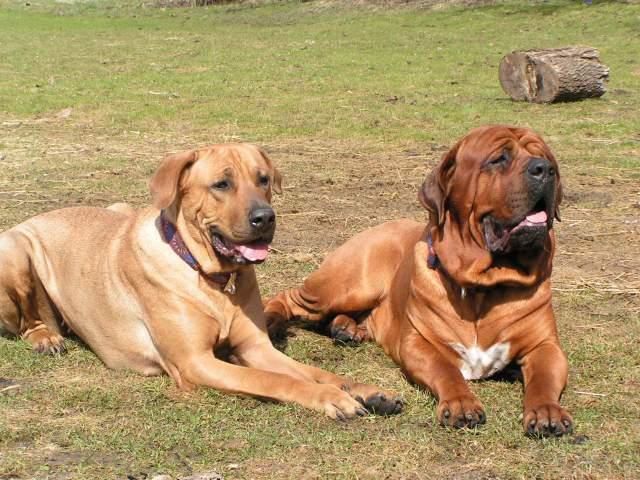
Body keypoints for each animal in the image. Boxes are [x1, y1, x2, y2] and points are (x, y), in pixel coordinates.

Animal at [0, 143, 400, 420]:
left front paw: (366, 390)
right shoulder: (194, 362)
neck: (212, 278)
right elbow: (276, 380)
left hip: (116, 208)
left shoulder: (257, 346)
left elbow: (314, 372)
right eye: (221, 184)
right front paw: (332, 399)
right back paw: (46, 339)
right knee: (27, 322)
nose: (265, 217)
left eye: (263, 179)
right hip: (14, 249)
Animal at [266, 125, 576, 436]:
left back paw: (347, 329)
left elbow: (544, 380)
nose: (544, 169)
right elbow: (447, 371)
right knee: (287, 297)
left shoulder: (546, 347)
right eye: (499, 159)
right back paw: (273, 320)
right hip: (347, 287)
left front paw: (547, 411)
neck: (484, 286)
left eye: (548, 158)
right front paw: (461, 403)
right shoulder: (419, 343)